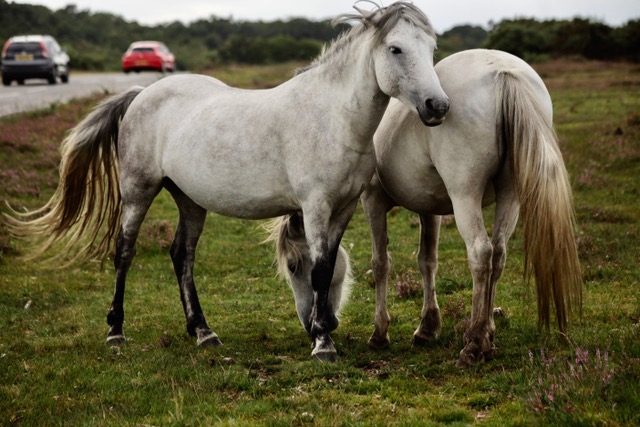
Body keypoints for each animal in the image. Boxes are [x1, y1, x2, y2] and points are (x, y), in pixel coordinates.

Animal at [5, 2, 449, 362]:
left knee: (181, 255)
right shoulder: (316, 207)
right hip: (137, 192)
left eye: (431, 49)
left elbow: (327, 266)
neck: (332, 117)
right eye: (395, 49)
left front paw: (323, 328)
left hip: (189, 200)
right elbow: (321, 270)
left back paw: (203, 332)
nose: (438, 106)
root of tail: (141, 95)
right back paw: (116, 331)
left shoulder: (343, 209)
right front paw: (323, 343)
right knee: (124, 251)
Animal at [360, 49, 583, 366]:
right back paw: (487, 333)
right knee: (498, 255)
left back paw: (474, 342)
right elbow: (427, 260)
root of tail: (503, 72)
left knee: (481, 253)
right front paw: (428, 327)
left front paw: (380, 333)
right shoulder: (429, 208)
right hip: (510, 196)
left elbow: (381, 263)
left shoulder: (373, 199)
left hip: (465, 196)